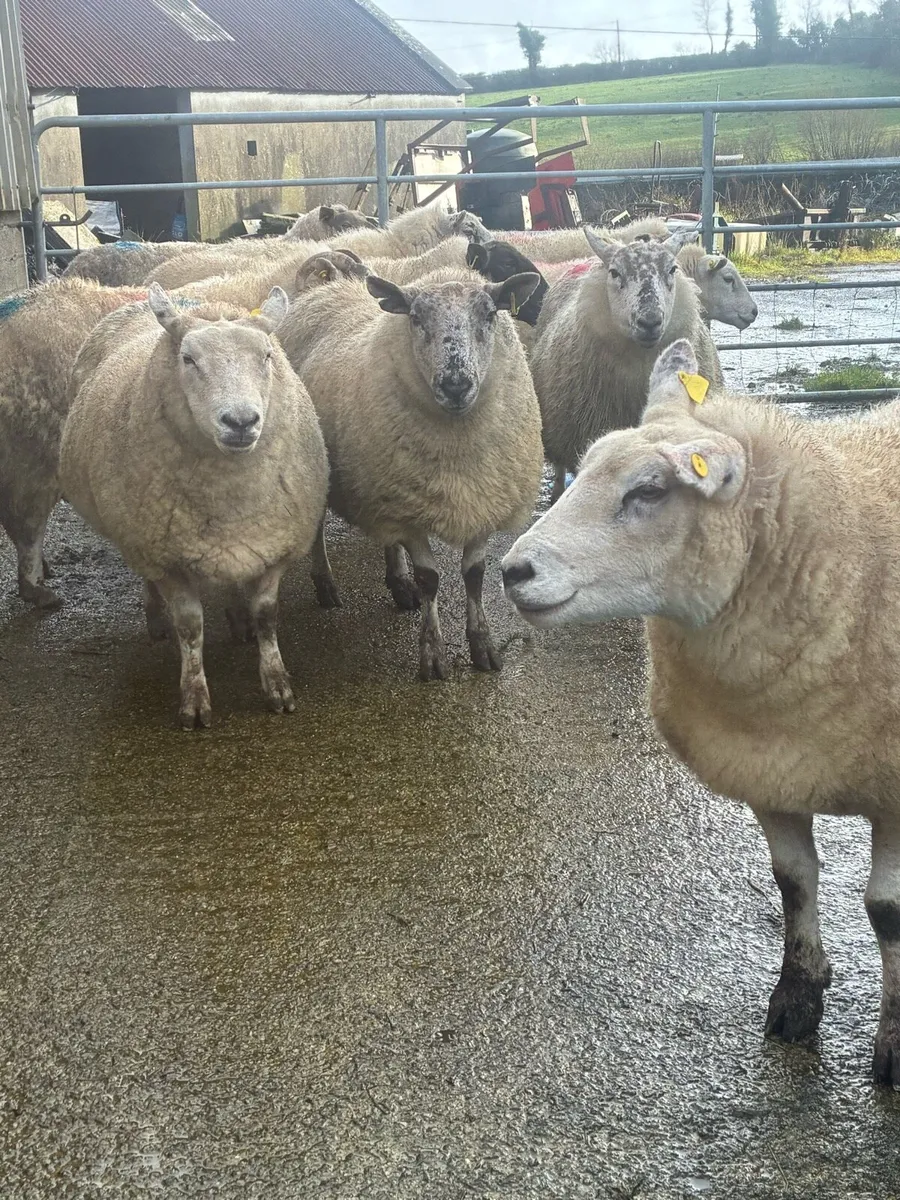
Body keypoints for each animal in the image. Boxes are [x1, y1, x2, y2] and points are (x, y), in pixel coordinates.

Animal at [59, 284, 328, 728]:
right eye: (187, 359)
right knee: (147, 579)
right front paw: (194, 699)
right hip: (134, 532)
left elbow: (267, 615)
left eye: (267, 356)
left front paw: (277, 685)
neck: (231, 498)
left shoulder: (274, 546)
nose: (241, 422)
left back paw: (238, 619)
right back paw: (155, 619)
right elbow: (189, 626)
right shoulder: (165, 556)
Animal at [274, 266, 544, 681]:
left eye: (489, 314)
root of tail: (328, 289)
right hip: (318, 466)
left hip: (386, 485)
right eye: (416, 318)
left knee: (388, 535)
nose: (455, 384)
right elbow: (429, 579)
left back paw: (397, 582)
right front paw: (432, 654)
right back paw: (326, 584)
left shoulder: (483, 500)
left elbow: (475, 575)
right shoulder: (412, 513)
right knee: (318, 528)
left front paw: (483, 645)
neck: (458, 447)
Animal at [502, 337, 900, 1087]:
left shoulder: (893, 790)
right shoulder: (768, 765)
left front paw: (893, 1044)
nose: (513, 572)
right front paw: (796, 999)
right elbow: (793, 882)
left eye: (649, 491)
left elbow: (887, 912)